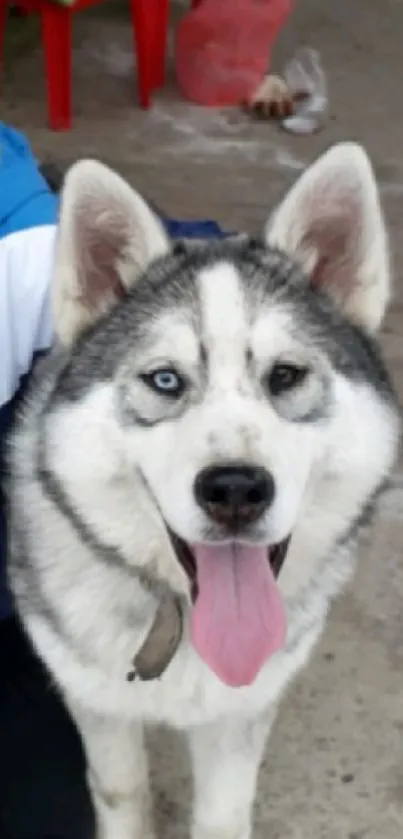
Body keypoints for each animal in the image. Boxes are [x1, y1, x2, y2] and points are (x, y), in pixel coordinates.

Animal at [7, 144, 400, 839]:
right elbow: (124, 792)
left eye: (286, 376)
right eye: (165, 380)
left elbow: (223, 811)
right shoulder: (96, 703)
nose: (236, 488)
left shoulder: (240, 714)